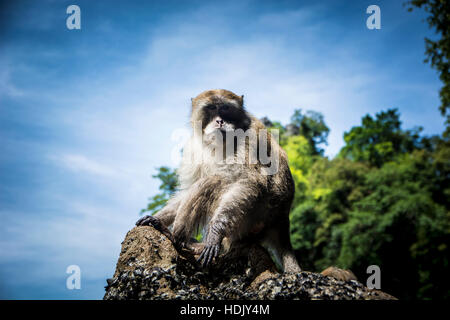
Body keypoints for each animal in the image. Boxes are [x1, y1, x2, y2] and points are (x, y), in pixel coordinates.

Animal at [135, 89, 300, 272]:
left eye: (226, 108)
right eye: (212, 108)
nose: (219, 121)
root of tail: (281, 221)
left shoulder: (250, 136)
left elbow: (250, 181)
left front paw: (215, 233)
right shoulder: (194, 146)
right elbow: (188, 188)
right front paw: (157, 217)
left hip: (257, 217)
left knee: (212, 182)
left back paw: (178, 238)